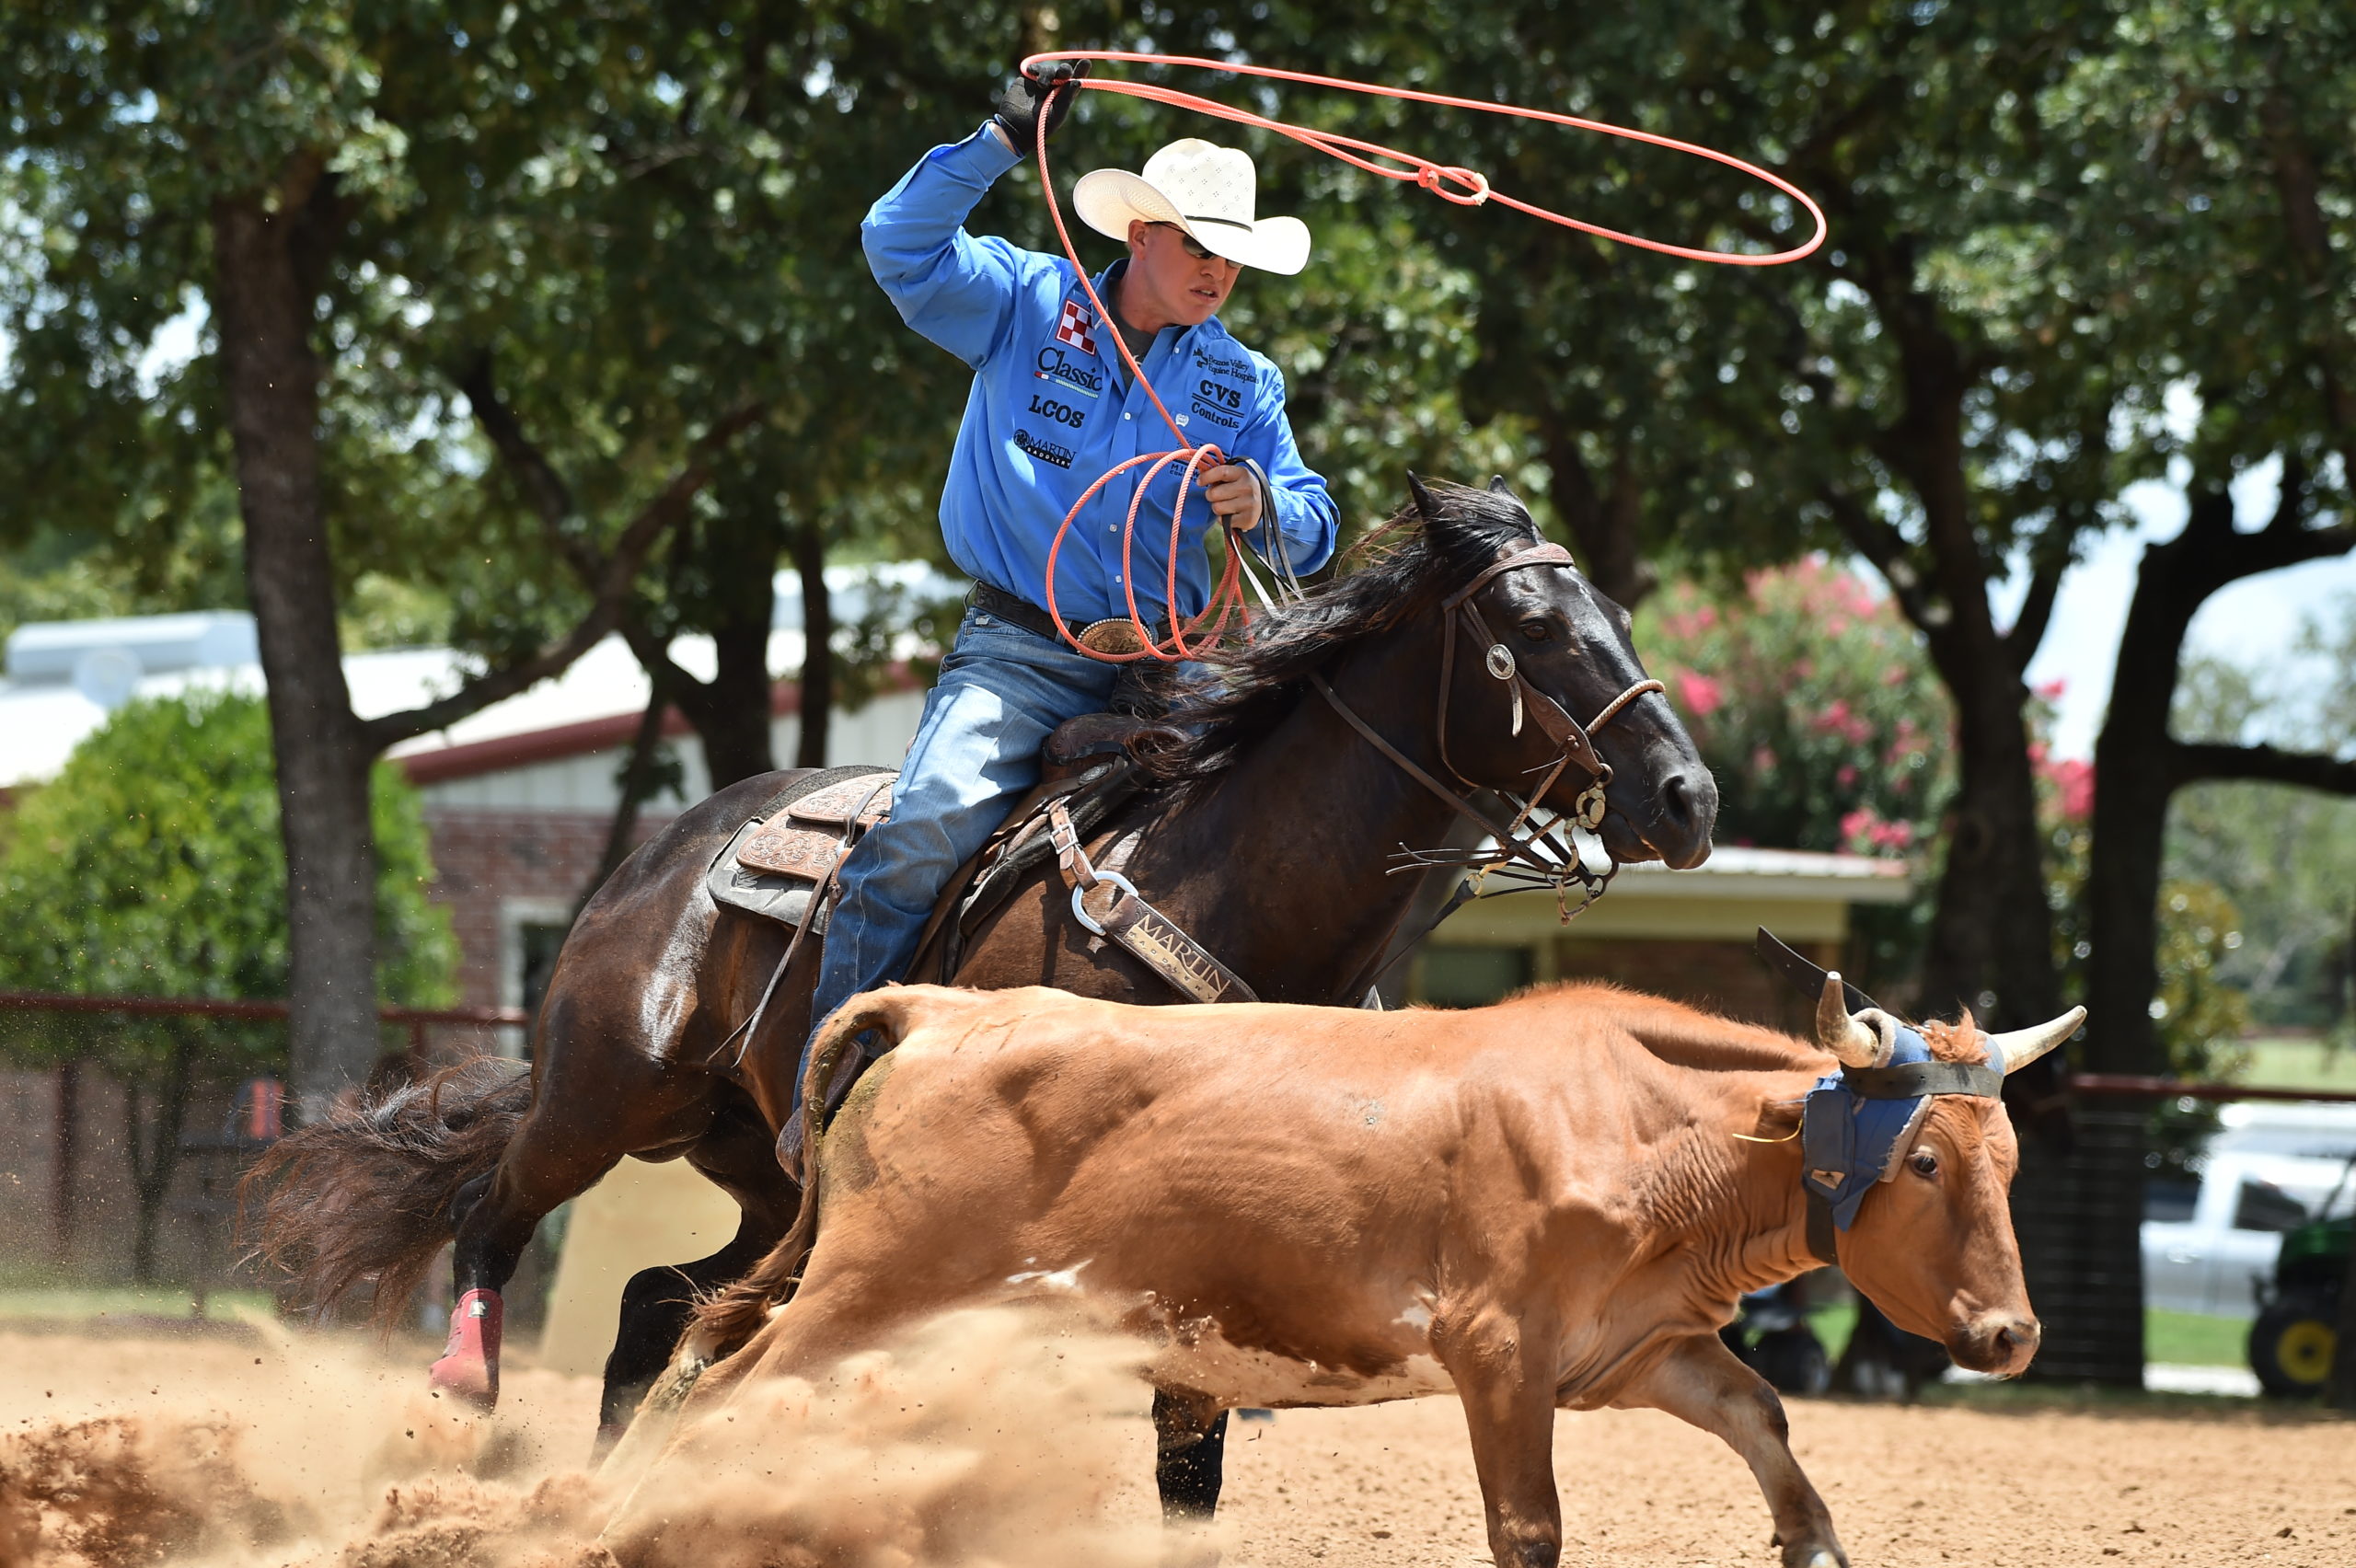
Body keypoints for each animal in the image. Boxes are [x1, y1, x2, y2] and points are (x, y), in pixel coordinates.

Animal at [248, 475, 1715, 1488]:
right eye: (1527, 624)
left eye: (1621, 614)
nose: (1686, 796)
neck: (1221, 882)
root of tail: (662, 857)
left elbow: (1189, 1458)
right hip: (605, 1100)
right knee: (496, 1216)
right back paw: (462, 1391)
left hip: (770, 1177)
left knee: (657, 1304)